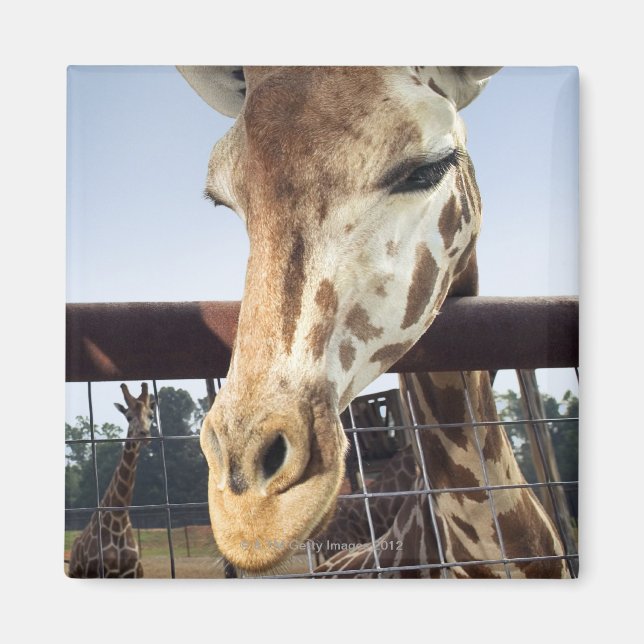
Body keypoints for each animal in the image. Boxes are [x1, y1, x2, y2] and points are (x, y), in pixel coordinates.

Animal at [67, 383, 156, 578]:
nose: (144, 434)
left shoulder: (133, 573)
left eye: (151, 415)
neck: (119, 518)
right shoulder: (103, 572)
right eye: (128, 416)